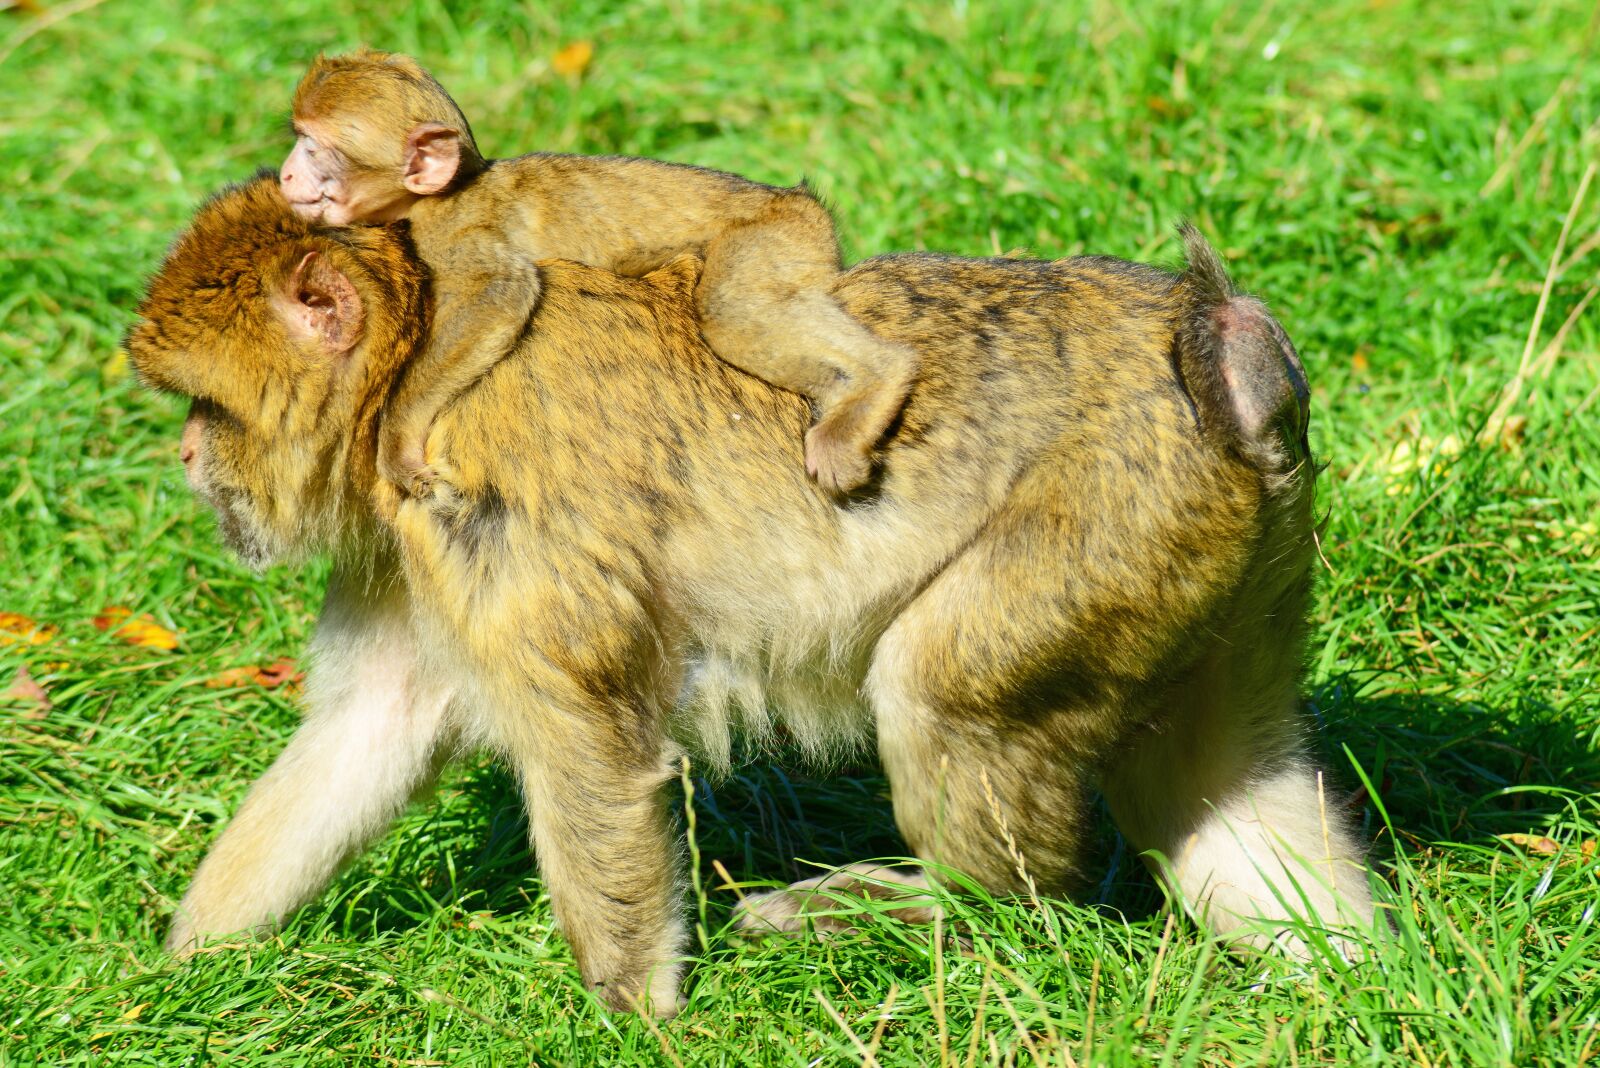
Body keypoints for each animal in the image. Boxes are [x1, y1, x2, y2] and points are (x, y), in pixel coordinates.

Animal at [128, 174, 1374, 1017]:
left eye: (207, 408)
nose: (184, 458)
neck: (404, 373)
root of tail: (1226, 358)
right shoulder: (411, 553)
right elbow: (367, 732)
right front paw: (183, 972)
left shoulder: (481, 507)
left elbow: (591, 751)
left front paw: (631, 1019)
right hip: (1218, 568)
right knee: (1225, 789)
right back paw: (1359, 975)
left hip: (1101, 525)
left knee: (938, 689)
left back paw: (939, 911)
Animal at [280, 49, 917, 500]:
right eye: (299, 138)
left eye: (314, 147)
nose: (286, 174)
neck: (443, 193)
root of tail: (801, 202)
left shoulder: (455, 232)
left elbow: (498, 295)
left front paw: (397, 441)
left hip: (779, 236)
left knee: (730, 308)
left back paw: (879, 379)